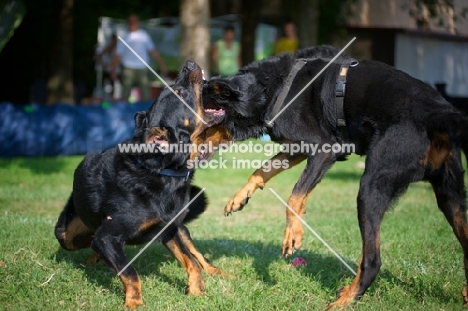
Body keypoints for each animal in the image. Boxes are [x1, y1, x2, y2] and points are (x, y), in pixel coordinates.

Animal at [54, 60, 223, 310]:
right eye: (179, 93)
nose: (189, 64)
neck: (163, 172)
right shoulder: (106, 236)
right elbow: (130, 272)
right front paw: (134, 301)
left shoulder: (169, 230)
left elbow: (191, 262)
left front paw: (196, 291)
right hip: (66, 235)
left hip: (181, 228)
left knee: (198, 254)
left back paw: (218, 271)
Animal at [199, 45, 468, 310]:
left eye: (202, 121)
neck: (272, 90)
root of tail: (438, 114)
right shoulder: (299, 148)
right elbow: (263, 170)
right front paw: (238, 198)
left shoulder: (324, 149)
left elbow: (294, 196)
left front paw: (293, 234)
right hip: (450, 194)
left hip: (371, 187)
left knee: (372, 260)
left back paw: (345, 299)